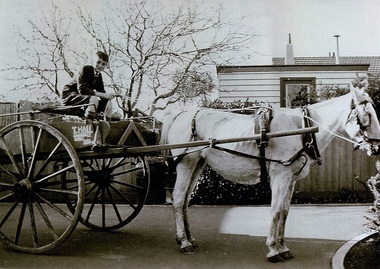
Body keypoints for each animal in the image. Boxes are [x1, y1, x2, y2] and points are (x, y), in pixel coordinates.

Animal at [159, 82, 380, 262]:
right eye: (366, 116)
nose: (377, 148)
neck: (303, 128)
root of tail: (181, 114)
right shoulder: (280, 177)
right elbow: (275, 211)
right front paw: (273, 250)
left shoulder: (291, 179)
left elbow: (284, 212)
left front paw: (282, 247)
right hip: (186, 164)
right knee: (178, 199)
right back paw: (184, 242)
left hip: (197, 164)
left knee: (185, 201)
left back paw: (189, 238)